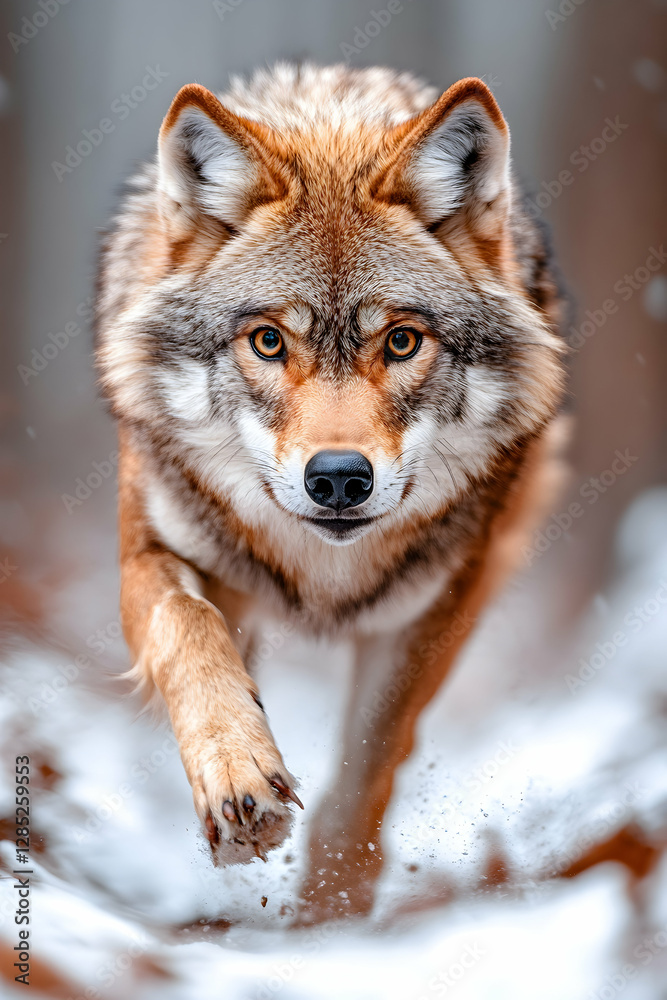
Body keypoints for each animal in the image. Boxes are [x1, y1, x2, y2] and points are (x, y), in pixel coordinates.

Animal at [95, 63, 566, 916]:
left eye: (403, 341)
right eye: (267, 341)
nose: (340, 478)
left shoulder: (428, 610)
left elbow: (366, 769)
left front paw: (332, 914)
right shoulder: (152, 551)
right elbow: (189, 631)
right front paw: (239, 783)